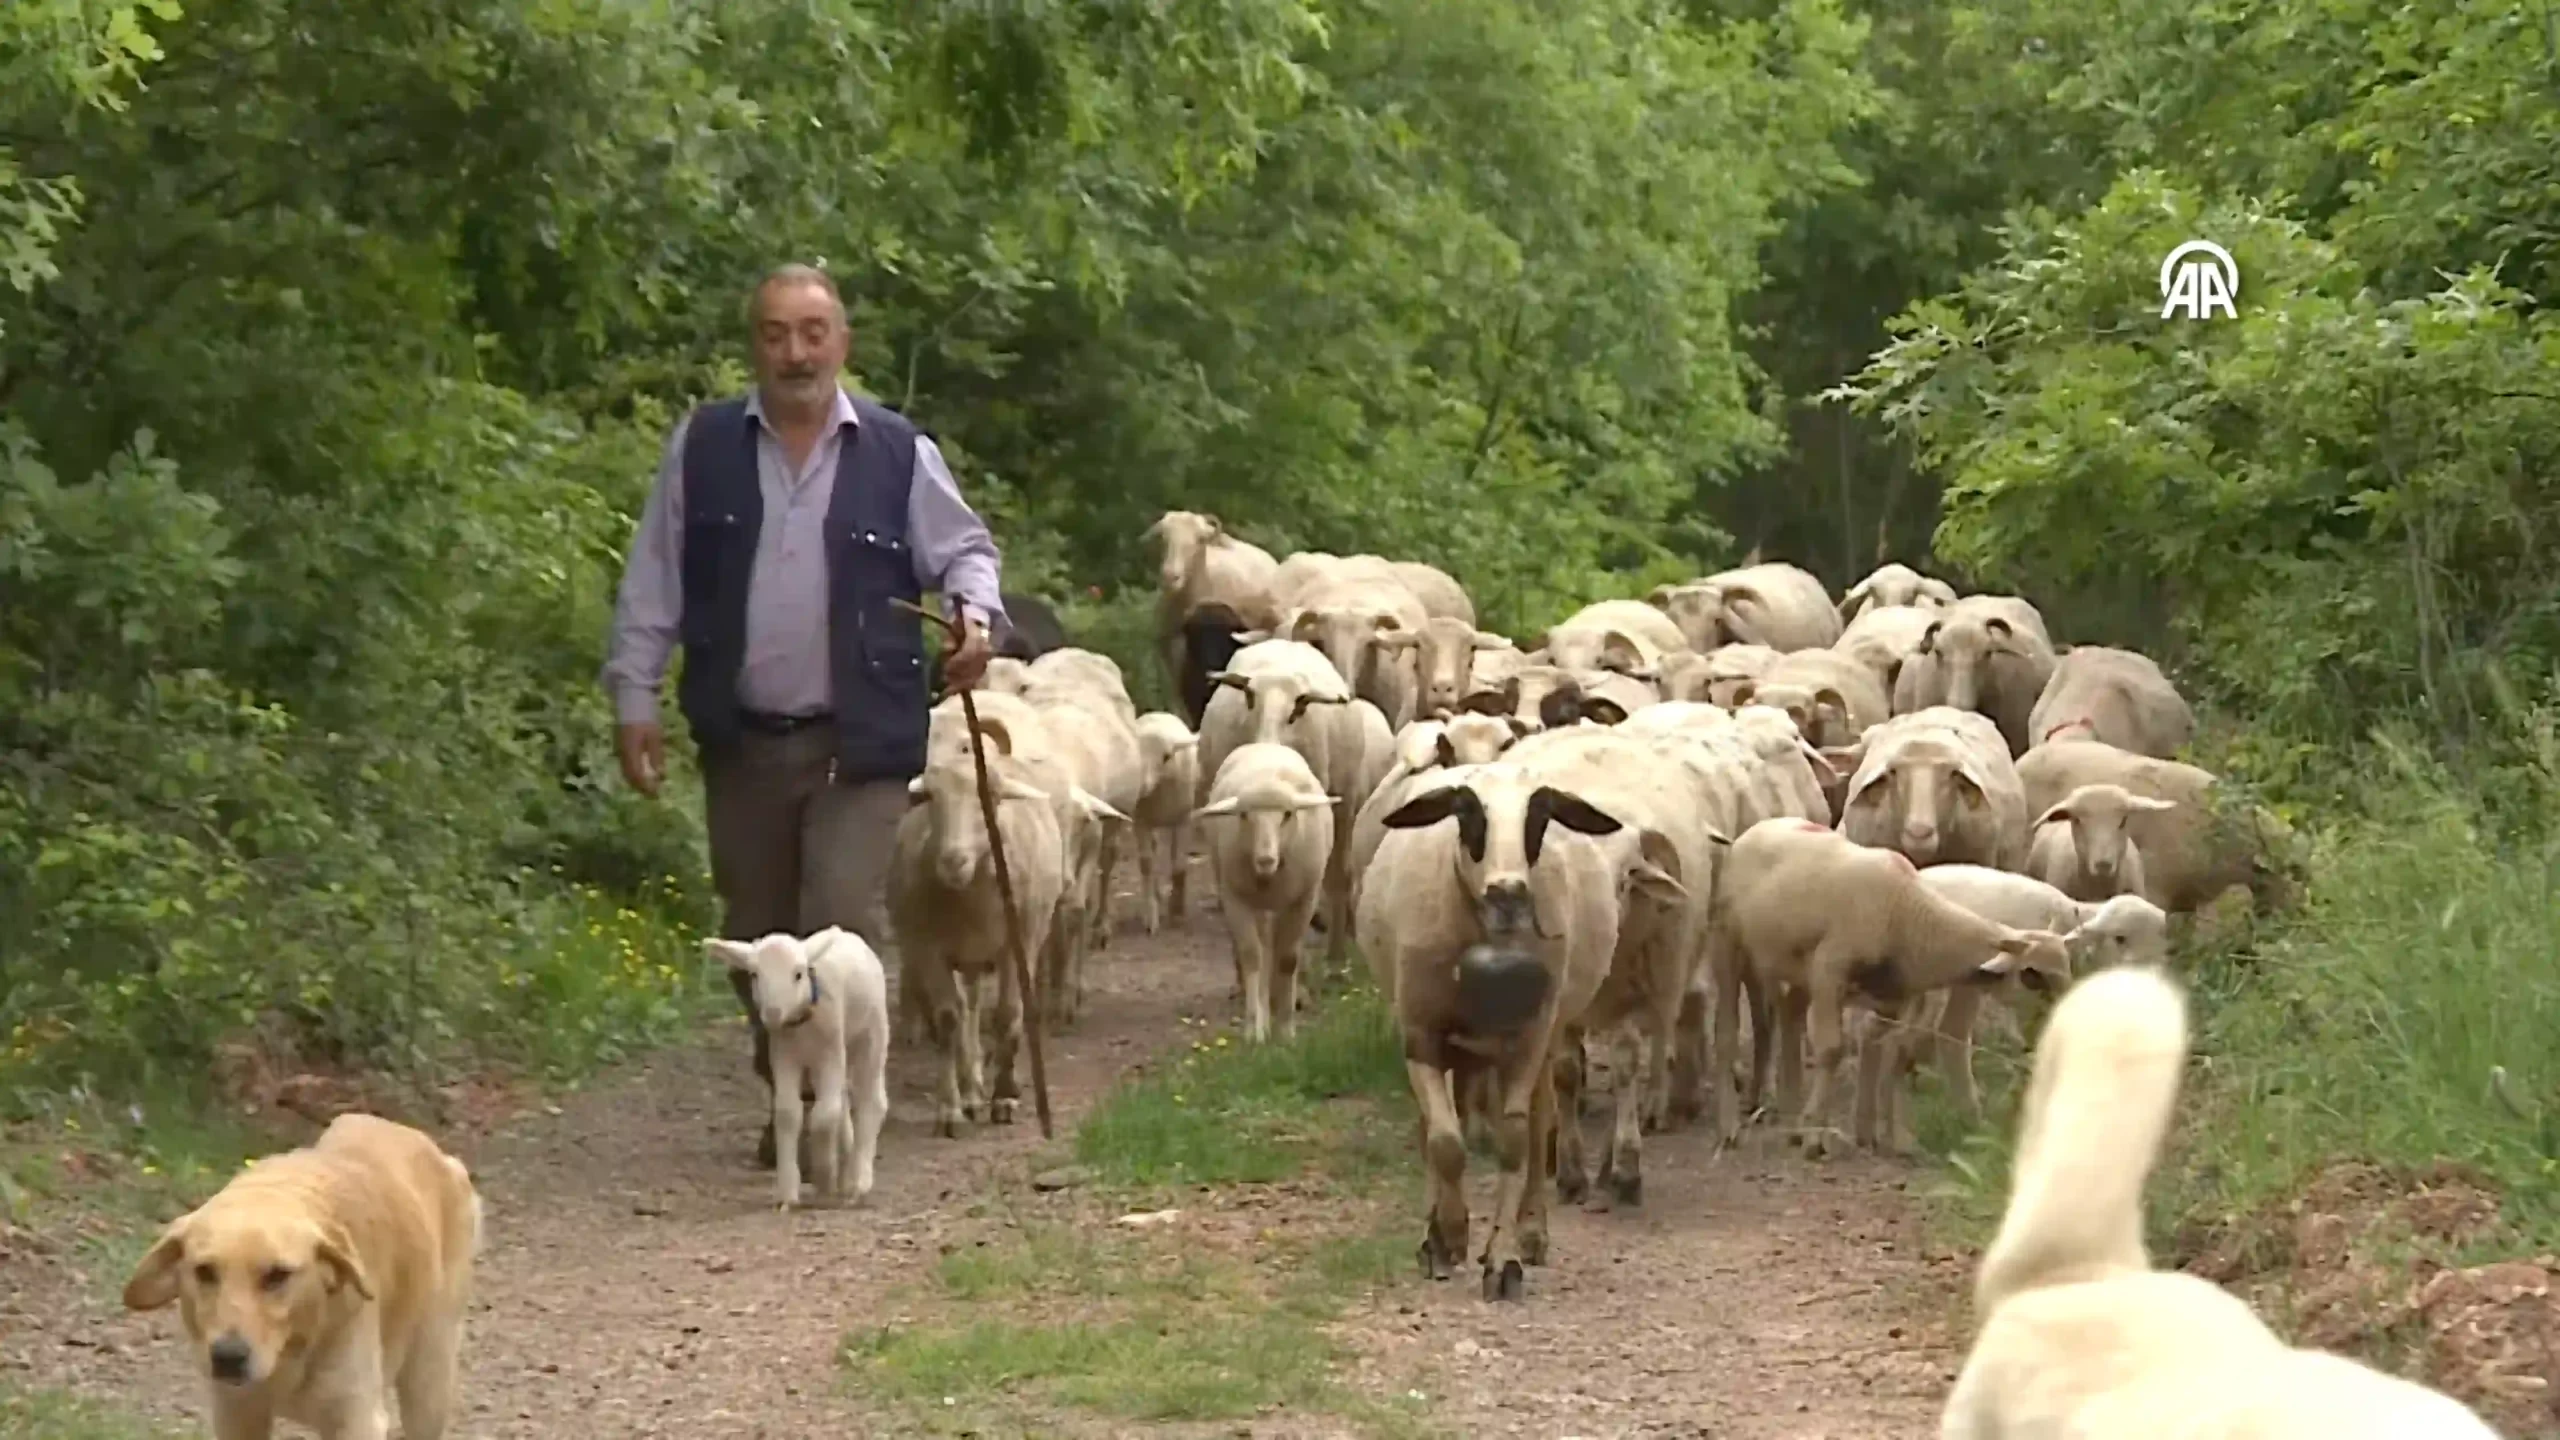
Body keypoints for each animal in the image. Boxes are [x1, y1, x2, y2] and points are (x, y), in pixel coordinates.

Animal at [123, 1112, 481, 1434]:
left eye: (278, 1275)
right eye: (204, 1271)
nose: (228, 1357)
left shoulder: (357, 1418)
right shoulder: (236, 1413)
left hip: (429, 1378)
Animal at [706, 922, 896, 1204]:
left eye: (798, 974)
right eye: (754, 974)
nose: (773, 1014)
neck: (802, 1025)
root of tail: (850, 936)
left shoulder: (829, 1052)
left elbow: (824, 1115)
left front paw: (824, 1178)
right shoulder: (785, 1055)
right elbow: (788, 1113)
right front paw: (789, 1191)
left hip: (871, 1033)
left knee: (871, 1101)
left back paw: (859, 1181)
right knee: (843, 1101)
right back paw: (846, 1168)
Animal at [1192, 737, 1341, 1030]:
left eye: (1288, 814)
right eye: (1243, 815)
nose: (1265, 859)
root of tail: (1266, 743)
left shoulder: (1304, 898)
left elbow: (1287, 960)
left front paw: (1285, 1028)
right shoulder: (1236, 897)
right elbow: (1252, 957)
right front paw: (1256, 1028)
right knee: (1259, 948)